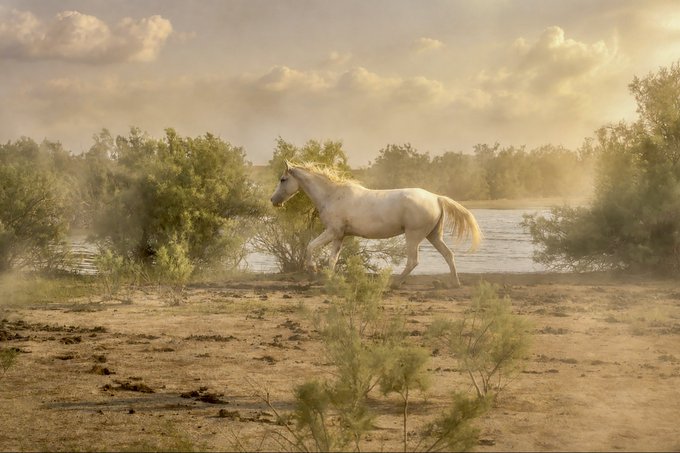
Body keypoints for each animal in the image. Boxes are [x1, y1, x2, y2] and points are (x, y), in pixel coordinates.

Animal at [270, 160, 482, 287]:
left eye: (283, 179)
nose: (273, 200)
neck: (332, 195)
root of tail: (436, 198)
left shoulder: (332, 232)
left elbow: (310, 246)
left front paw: (313, 271)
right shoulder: (340, 235)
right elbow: (333, 259)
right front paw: (328, 279)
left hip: (413, 235)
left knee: (413, 261)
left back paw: (395, 283)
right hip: (433, 235)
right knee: (448, 254)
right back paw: (455, 283)